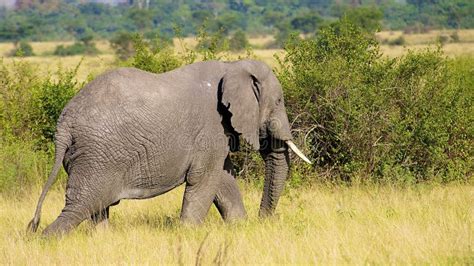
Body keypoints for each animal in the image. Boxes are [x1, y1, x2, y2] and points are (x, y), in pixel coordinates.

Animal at [28, 59, 312, 235]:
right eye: (279, 101)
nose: (264, 219)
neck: (232, 65)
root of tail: (64, 124)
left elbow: (223, 179)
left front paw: (239, 228)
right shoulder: (210, 127)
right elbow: (204, 180)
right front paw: (187, 233)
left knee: (96, 207)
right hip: (99, 155)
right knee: (82, 205)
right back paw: (46, 240)